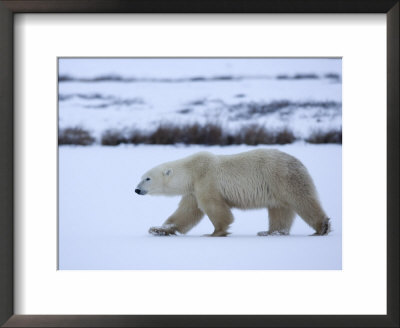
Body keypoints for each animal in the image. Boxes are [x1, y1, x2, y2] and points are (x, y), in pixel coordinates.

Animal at [135, 150, 332, 237]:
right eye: (142, 177)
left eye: (147, 178)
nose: (136, 189)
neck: (191, 171)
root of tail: (299, 162)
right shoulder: (193, 190)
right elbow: (186, 212)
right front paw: (159, 229)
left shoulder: (206, 180)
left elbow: (214, 207)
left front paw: (215, 232)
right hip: (276, 188)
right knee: (279, 210)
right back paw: (271, 232)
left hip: (283, 178)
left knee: (303, 201)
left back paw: (322, 227)